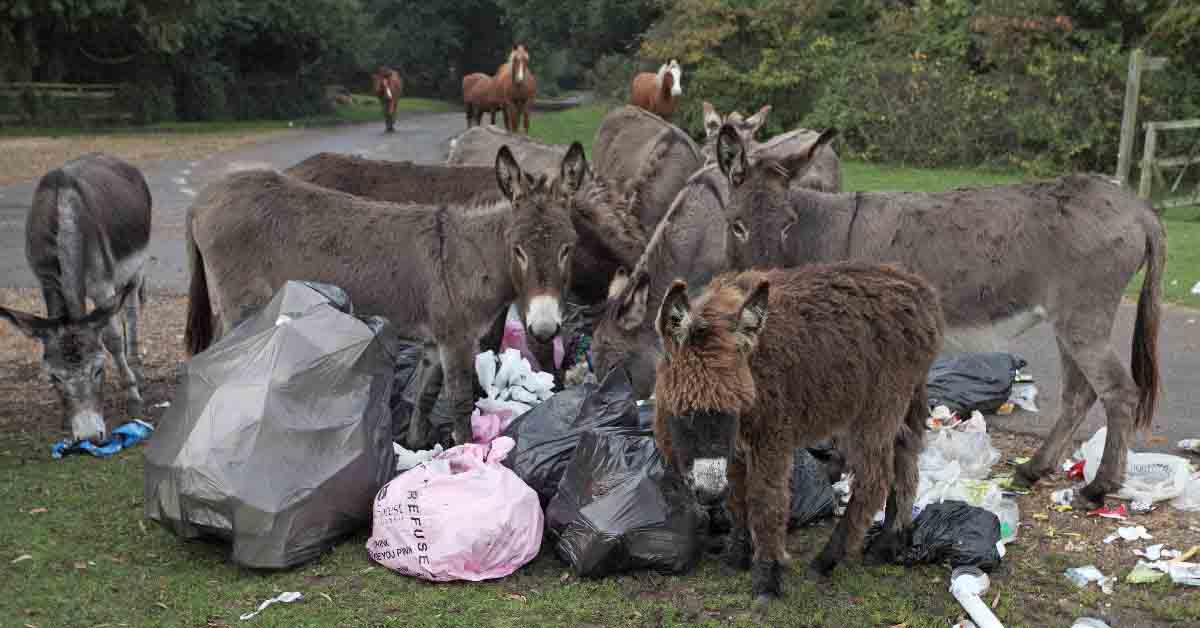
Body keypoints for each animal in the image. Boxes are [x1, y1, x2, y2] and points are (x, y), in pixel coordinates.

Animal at [657, 262, 945, 607]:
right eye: (685, 412)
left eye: (732, 410)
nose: (709, 494)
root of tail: (921, 290)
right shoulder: (738, 445)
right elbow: (738, 496)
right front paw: (738, 556)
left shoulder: (772, 435)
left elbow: (765, 501)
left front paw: (767, 577)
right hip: (895, 404)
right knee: (905, 458)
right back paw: (888, 544)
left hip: (878, 408)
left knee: (875, 479)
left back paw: (827, 560)